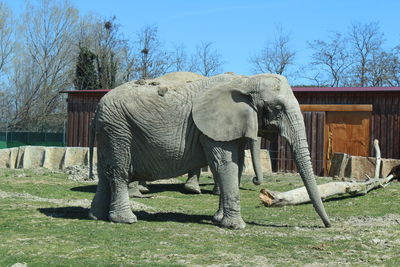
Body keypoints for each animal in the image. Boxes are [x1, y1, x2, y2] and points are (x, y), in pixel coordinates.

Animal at [89, 71, 332, 230]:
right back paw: (125, 220)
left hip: (109, 132)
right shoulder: (212, 126)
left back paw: (96, 217)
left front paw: (217, 220)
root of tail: (97, 107)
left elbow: (233, 166)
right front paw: (236, 226)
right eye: (277, 108)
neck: (245, 81)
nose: (327, 225)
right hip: (118, 130)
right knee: (119, 172)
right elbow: (225, 165)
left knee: (105, 173)